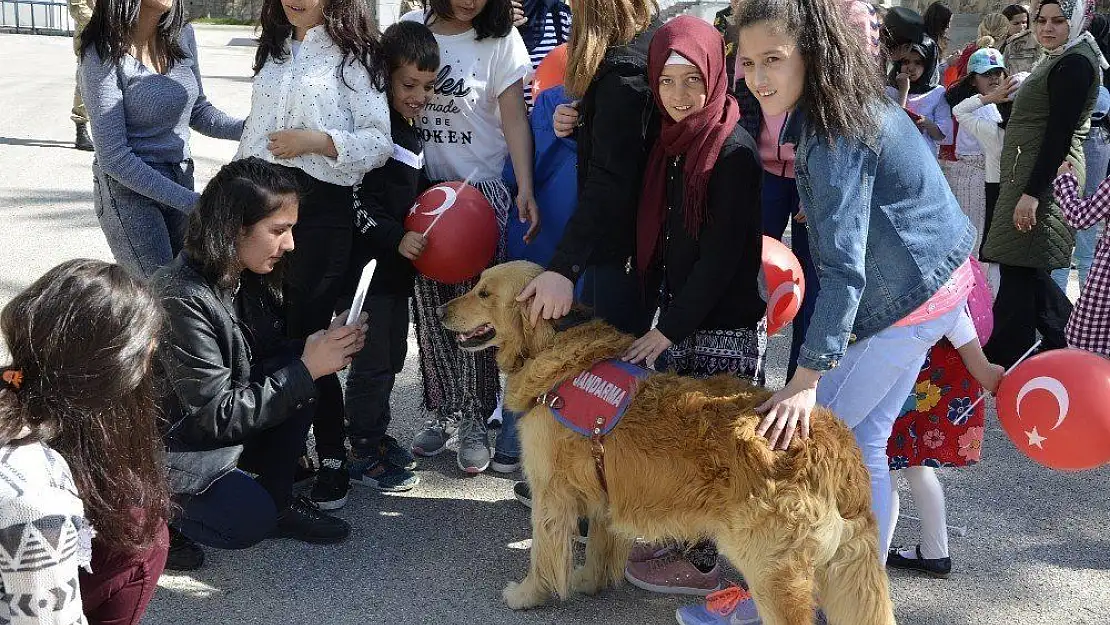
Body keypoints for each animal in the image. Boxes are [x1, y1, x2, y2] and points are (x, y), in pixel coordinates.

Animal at [437, 261, 896, 621]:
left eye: (484, 292)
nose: (441, 310)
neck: (554, 351)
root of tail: (834, 441)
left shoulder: (551, 494)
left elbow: (545, 555)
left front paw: (529, 594)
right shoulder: (604, 492)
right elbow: (598, 547)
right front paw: (590, 582)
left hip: (773, 571)